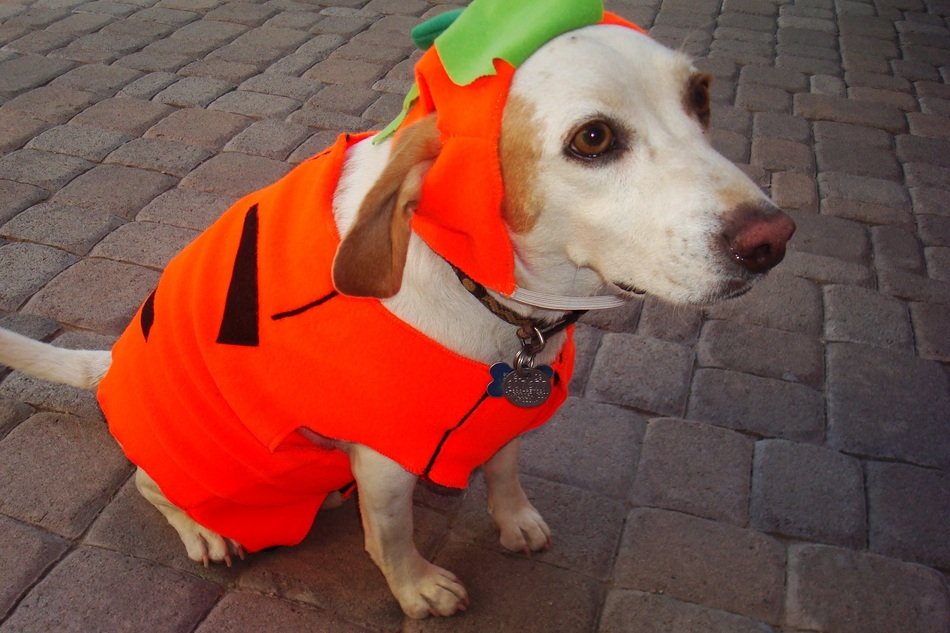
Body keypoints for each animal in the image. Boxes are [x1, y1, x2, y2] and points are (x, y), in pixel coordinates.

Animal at [0, 0, 796, 620]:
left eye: (700, 97)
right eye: (593, 139)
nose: (773, 240)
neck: (498, 308)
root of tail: (108, 368)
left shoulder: (501, 414)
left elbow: (505, 470)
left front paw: (516, 521)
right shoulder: (384, 461)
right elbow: (391, 537)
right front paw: (419, 589)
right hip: (207, 461)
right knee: (148, 482)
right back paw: (204, 531)